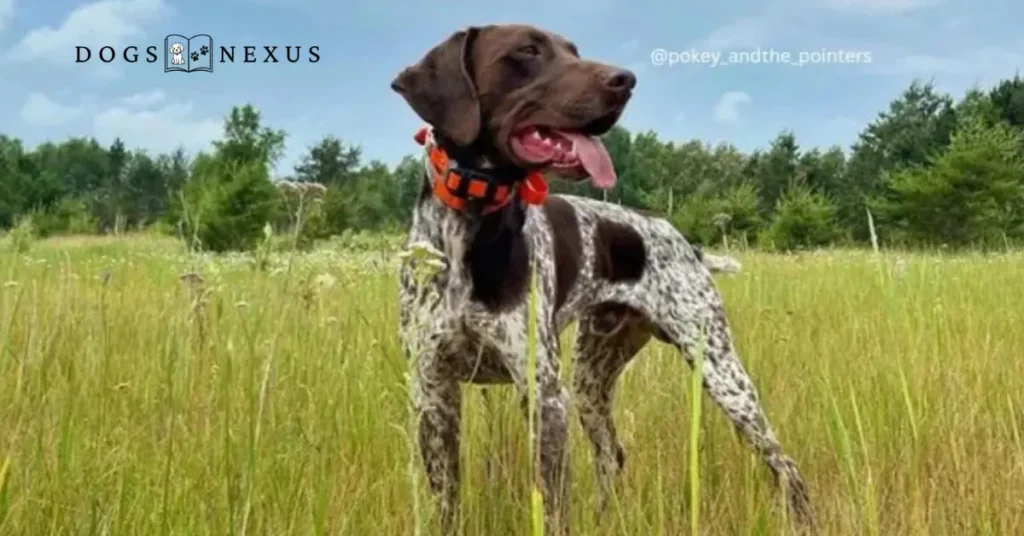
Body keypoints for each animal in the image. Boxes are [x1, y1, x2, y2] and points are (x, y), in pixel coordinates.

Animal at [393, 24, 815, 532]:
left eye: (574, 50)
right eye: (528, 50)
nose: (625, 80)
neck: (468, 225)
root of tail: (682, 240)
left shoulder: (545, 397)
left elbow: (552, 505)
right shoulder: (433, 393)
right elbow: (447, 502)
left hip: (721, 373)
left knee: (785, 464)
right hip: (592, 378)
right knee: (612, 455)